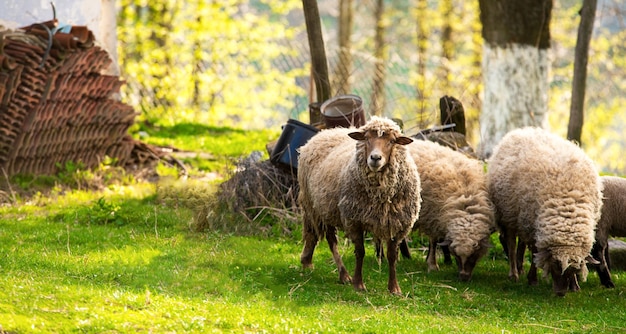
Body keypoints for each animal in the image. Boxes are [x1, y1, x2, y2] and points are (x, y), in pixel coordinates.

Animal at [296, 116, 420, 294]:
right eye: (366, 138)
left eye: (392, 141)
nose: (375, 158)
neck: (381, 195)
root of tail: (325, 132)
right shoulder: (354, 220)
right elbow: (360, 252)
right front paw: (358, 284)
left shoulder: (397, 224)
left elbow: (392, 256)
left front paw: (394, 288)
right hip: (314, 206)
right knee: (325, 239)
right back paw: (341, 274)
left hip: (325, 207)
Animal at [404, 139, 498, 282]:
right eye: (457, 256)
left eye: (474, 254)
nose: (463, 277)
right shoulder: (432, 215)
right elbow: (434, 241)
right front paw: (432, 265)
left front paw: (445, 260)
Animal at [486, 126, 604, 296]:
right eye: (554, 265)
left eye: (575, 270)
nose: (561, 293)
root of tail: (523, 130)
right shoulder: (535, 228)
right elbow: (536, 254)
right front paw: (533, 279)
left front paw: (574, 285)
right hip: (511, 214)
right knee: (511, 244)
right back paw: (514, 273)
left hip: (524, 218)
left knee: (521, 244)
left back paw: (520, 268)